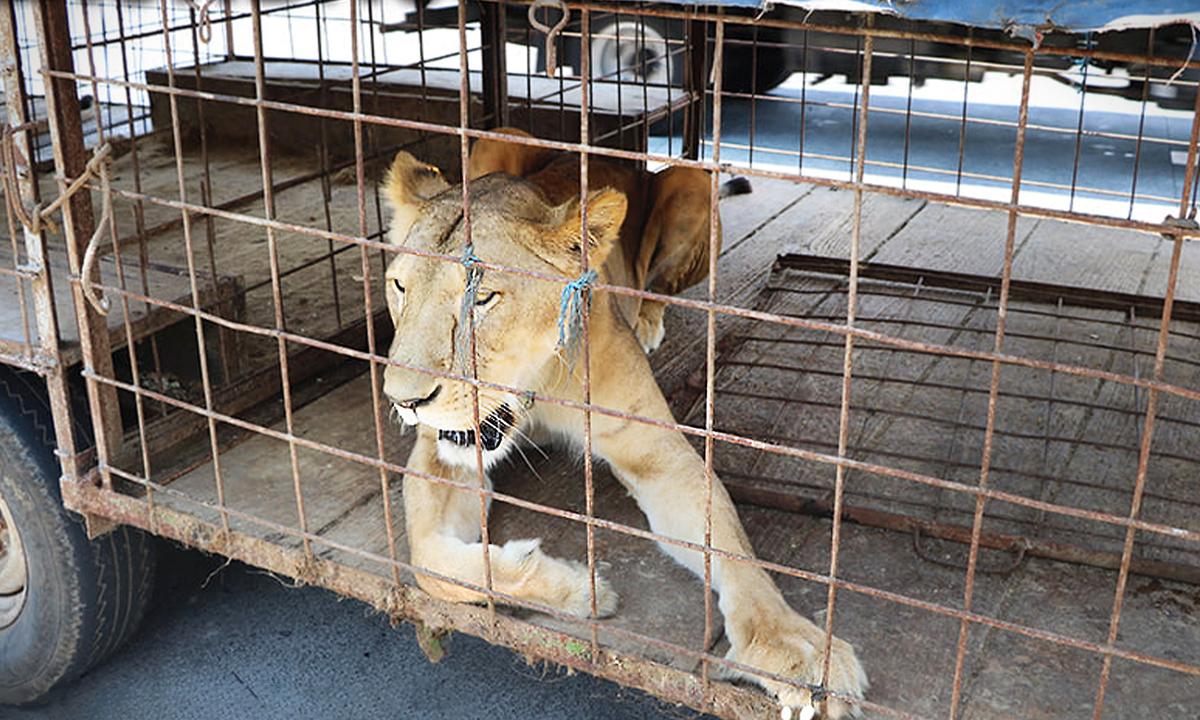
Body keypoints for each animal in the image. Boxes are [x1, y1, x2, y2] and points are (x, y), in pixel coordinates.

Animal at [380, 129, 868, 718]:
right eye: (399, 287)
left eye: (484, 297)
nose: (403, 400)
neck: (533, 389)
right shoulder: (443, 450)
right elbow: (428, 561)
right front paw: (574, 588)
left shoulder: (659, 456)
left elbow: (728, 545)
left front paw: (790, 646)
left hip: (689, 183)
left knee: (661, 284)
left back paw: (649, 322)